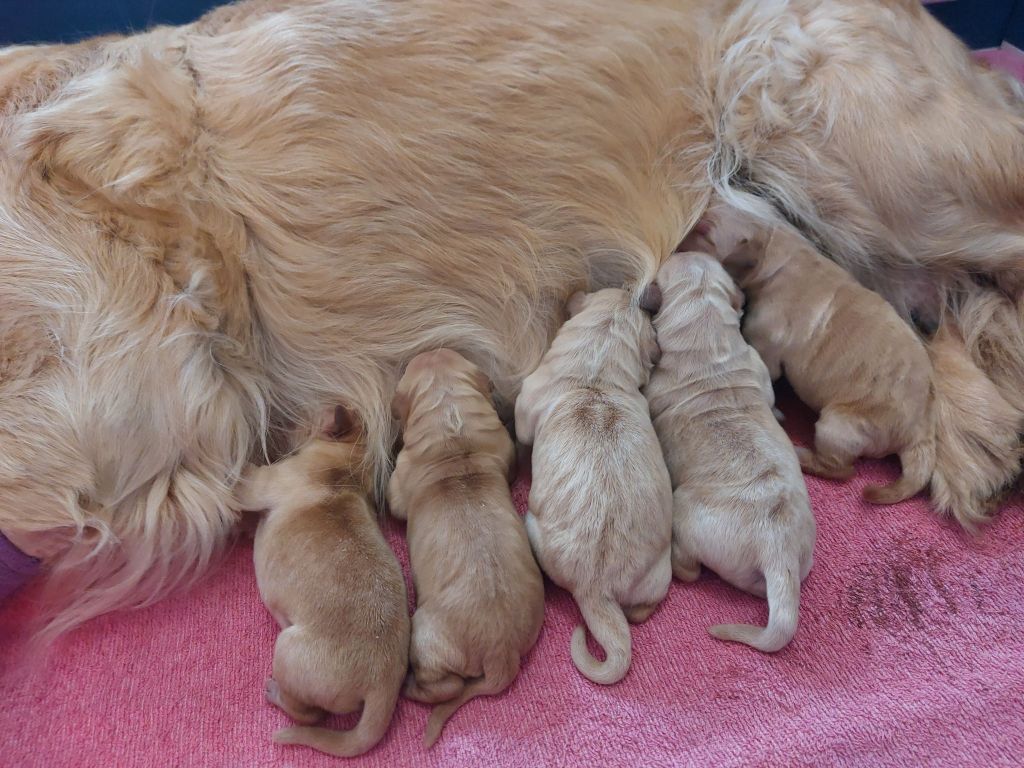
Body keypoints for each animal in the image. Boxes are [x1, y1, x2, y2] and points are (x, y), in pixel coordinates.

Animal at [237, 411, 409, 761]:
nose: (281, 423)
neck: (348, 468)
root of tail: (384, 681)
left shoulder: (261, 483)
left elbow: (243, 478)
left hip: (287, 650)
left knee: (308, 714)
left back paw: (276, 694)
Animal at [385, 352, 544, 749]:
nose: (428, 349)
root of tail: (502, 655)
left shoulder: (400, 485)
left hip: (424, 635)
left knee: (446, 686)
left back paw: (410, 687)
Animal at [512, 288, 671, 684]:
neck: (594, 377)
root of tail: (596, 589)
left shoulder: (526, 404)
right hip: (659, 571)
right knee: (646, 604)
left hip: (534, 529)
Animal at [647, 256, 815, 651]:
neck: (706, 331)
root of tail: (776, 548)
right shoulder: (756, 365)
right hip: (799, 560)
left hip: (685, 508)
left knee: (690, 569)